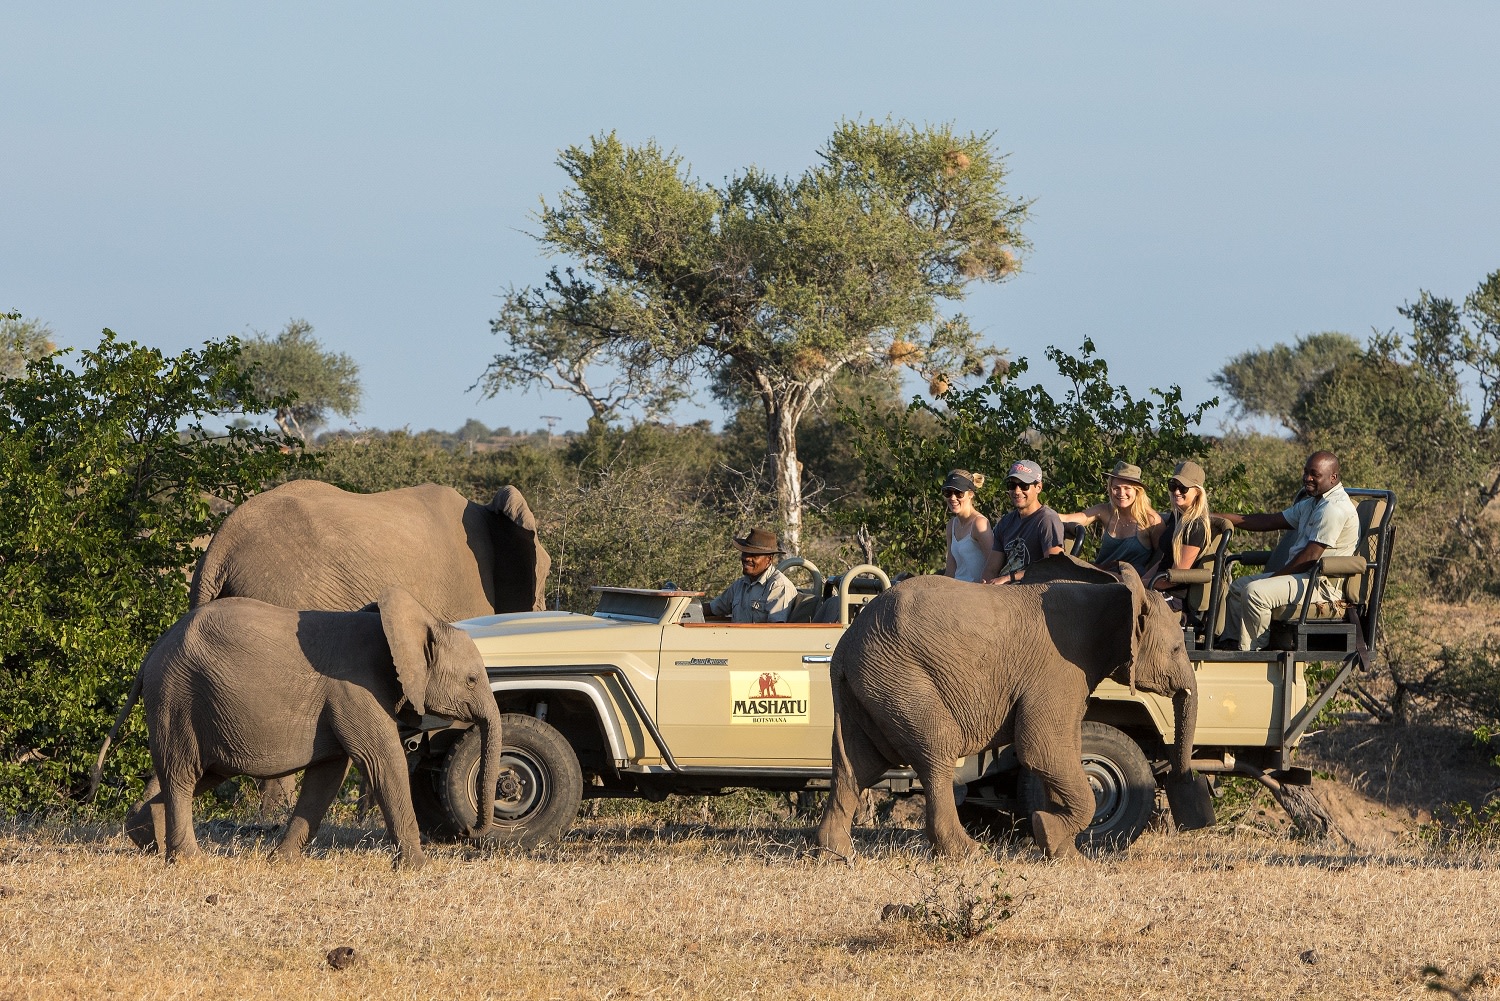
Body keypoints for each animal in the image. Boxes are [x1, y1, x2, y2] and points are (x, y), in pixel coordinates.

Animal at [129, 588, 504, 870]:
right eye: (472, 680)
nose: (468, 830)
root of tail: (154, 650)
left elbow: (328, 775)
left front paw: (282, 862)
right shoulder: (355, 689)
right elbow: (383, 762)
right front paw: (418, 868)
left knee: (202, 774)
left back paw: (147, 838)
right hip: (177, 697)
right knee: (183, 774)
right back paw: (188, 860)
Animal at [816, 564, 1200, 864]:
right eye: (1176, 648)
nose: (1188, 786)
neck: (1114, 593)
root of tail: (846, 645)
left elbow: (1061, 751)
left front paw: (1064, 853)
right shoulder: (1058, 668)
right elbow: (1042, 748)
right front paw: (1050, 833)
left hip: (868, 686)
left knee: (856, 765)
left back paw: (837, 855)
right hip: (900, 679)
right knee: (936, 752)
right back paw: (968, 854)